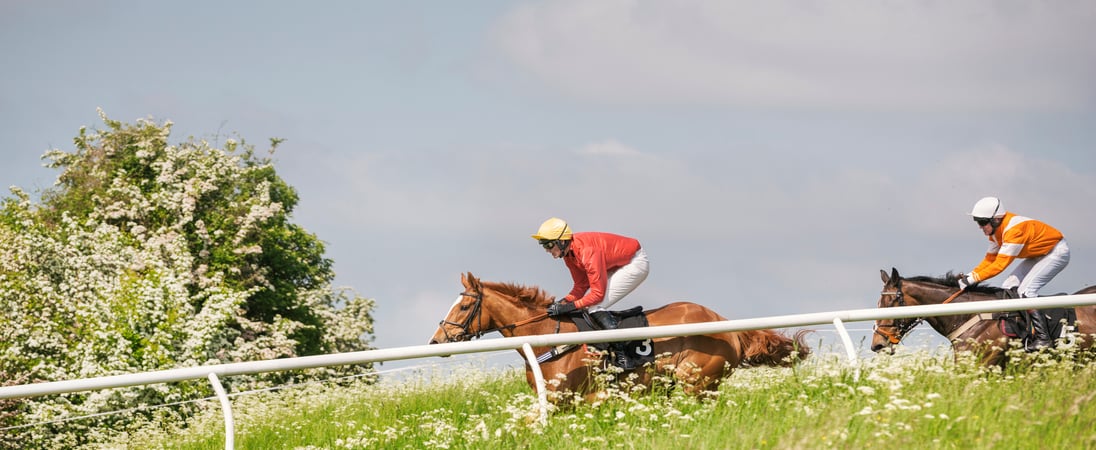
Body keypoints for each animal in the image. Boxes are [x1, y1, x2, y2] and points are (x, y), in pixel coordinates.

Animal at [427, 272, 815, 402]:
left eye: (464, 307)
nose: (436, 341)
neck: (546, 338)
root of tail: (725, 324)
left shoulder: (571, 399)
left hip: (696, 381)